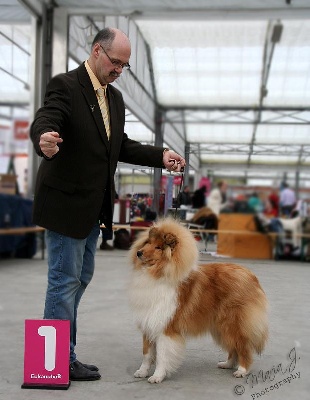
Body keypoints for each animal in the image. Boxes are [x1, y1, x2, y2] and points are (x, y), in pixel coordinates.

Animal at [128, 219, 268, 384]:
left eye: (158, 247)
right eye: (148, 242)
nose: (139, 253)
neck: (157, 274)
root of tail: (251, 275)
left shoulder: (165, 327)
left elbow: (162, 355)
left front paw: (157, 376)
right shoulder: (149, 323)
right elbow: (147, 353)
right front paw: (142, 372)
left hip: (233, 323)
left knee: (243, 346)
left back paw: (241, 370)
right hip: (221, 326)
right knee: (233, 347)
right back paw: (227, 364)